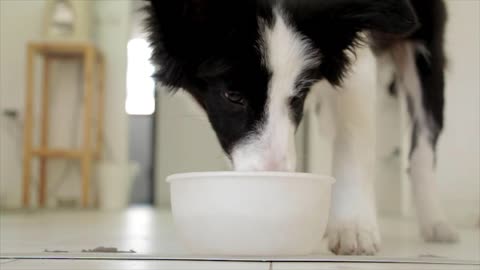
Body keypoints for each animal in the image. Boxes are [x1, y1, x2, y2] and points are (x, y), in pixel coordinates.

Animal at [145, 0, 458, 255]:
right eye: (233, 96)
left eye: (298, 96)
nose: (275, 182)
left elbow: (355, 135)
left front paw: (354, 226)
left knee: (423, 146)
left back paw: (436, 222)